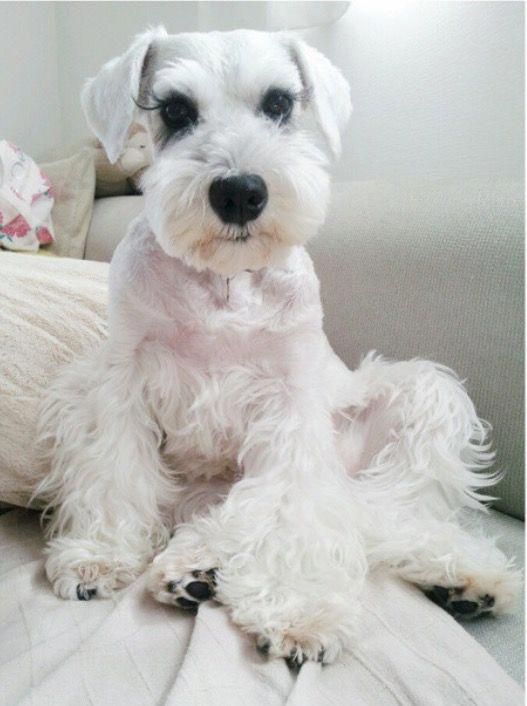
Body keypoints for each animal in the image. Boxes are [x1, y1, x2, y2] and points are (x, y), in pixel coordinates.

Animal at [35, 27, 520, 664]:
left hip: (426, 395)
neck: (224, 281)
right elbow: (116, 472)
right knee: (230, 514)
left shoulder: (290, 405)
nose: (240, 192)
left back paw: (465, 576)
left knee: (364, 513)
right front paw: (98, 554)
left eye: (279, 103)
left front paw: (299, 609)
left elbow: (290, 512)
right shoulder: (120, 384)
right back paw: (196, 568)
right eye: (175, 110)